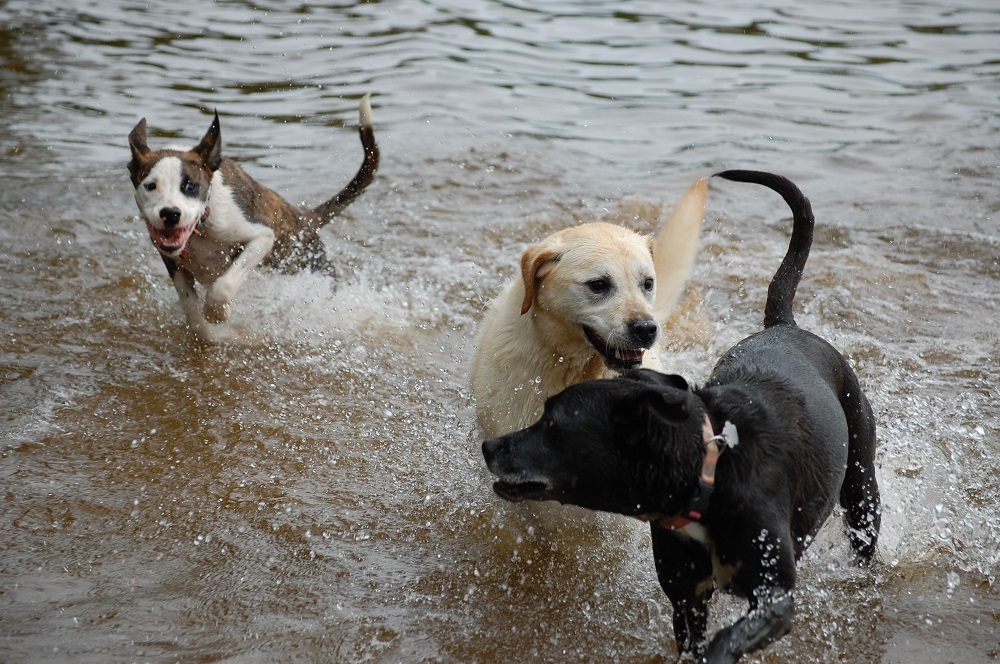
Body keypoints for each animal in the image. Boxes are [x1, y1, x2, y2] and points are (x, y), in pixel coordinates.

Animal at [125, 94, 376, 342]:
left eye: (190, 186)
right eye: (150, 186)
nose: (170, 213)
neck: (203, 226)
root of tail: (305, 219)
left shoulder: (261, 237)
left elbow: (223, 287)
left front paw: (220, 312)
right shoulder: (172, 261)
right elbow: (191, 310)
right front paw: (210, 330)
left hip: (313, 267)